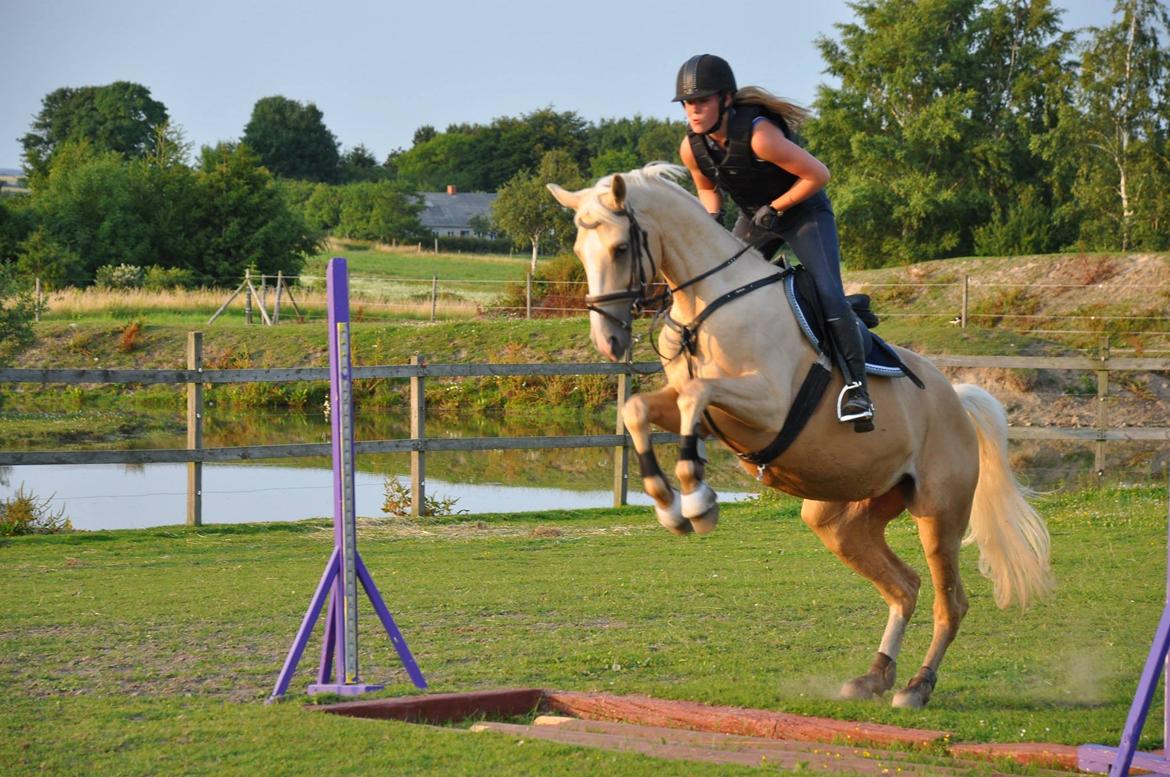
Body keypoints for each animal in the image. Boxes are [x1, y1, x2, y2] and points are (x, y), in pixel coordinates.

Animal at [545, 163, 1053, 711]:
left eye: (620, 248)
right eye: (579, 251)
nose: (608, 341)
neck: (707, 301)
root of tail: (957, 399)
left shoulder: (766, 405)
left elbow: (694, 398)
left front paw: (698, 500)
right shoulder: (693, 400)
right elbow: (641, 408)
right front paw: (669, 505)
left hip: (939, 514)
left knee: (950, 601)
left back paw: (917, 686)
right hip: (841, 516)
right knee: (905, 586)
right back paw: (874, 676)